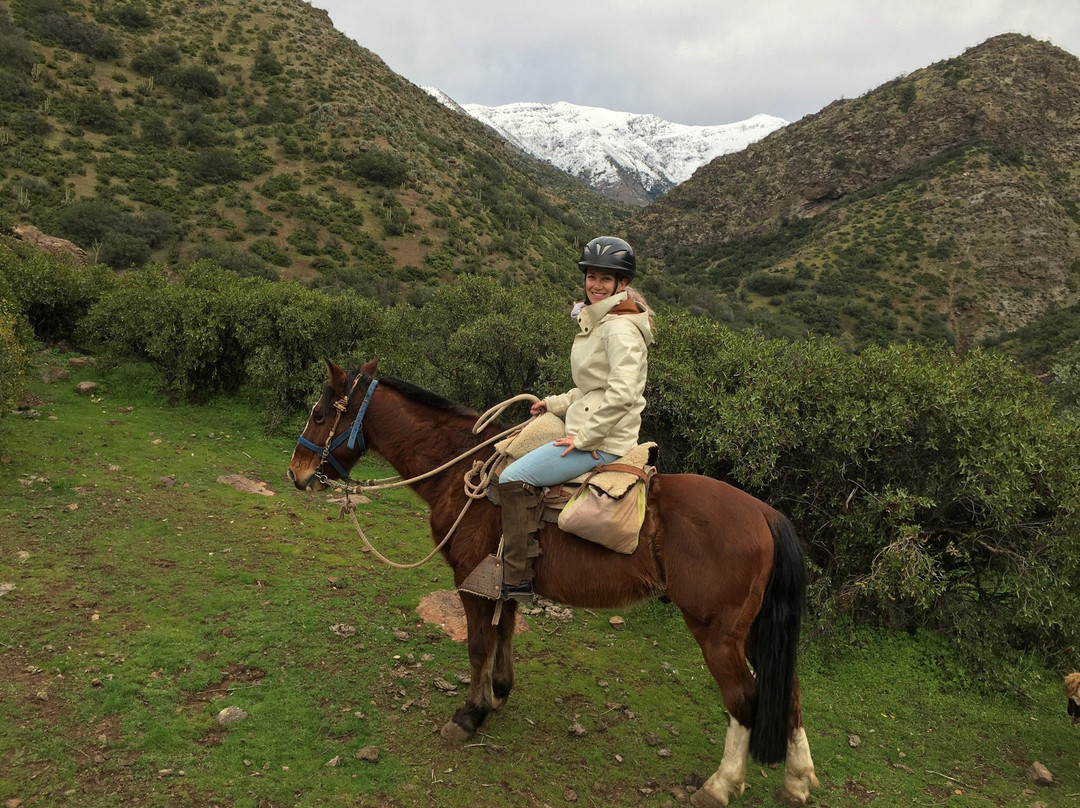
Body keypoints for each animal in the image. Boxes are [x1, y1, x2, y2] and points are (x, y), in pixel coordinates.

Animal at [287, 360, 819, 808]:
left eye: (318, 413)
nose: (296, 474)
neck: (460, 468)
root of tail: (766, 514)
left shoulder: (470, 577)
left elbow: (478, 644)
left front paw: (469, 715)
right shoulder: (504, 578)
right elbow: (504, 632)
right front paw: (499, 692)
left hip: (717, 634)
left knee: (744, 699)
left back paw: (719, 785)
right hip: (753, 630)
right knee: (789, 693)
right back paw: (797, 782)